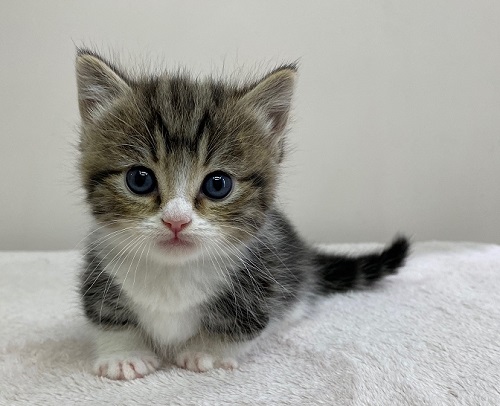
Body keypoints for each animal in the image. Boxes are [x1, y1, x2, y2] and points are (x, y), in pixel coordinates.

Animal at [75, 49, 410, 380]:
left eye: (218, 184)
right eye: (140, 179)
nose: (176, 221)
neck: (174, 272)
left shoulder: (263, 278)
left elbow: (245, 325)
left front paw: (206, 351)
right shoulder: (99, 270)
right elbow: (105, 313)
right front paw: (124, 355)